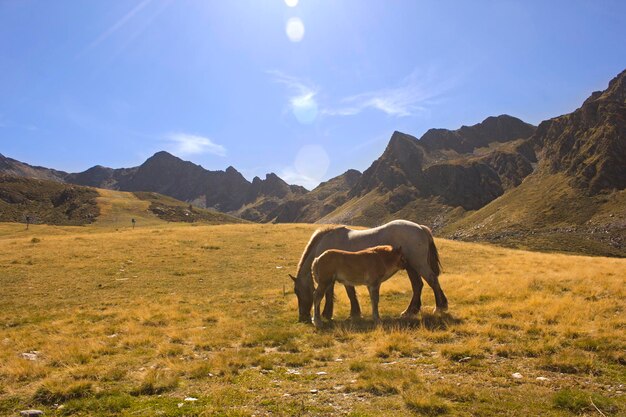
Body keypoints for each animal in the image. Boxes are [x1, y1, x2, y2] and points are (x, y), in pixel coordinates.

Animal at [288, 219, 444, 324]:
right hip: (411, 267)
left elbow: (332, 293)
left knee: (432, 280)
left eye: (297, 291)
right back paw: (410, 311)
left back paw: (440, 308)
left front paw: (328, 314)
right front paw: (354, 313)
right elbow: (349, 293)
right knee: (417, 285)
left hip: (419, 264)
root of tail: (420, 228)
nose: (302, 317)